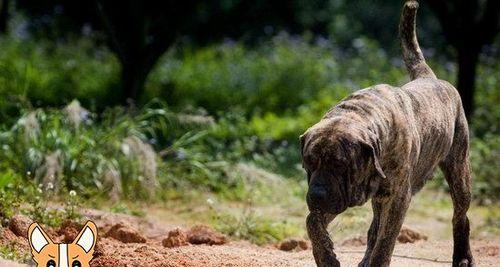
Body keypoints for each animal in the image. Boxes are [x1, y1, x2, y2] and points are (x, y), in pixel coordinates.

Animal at [300, 1, 472, 266]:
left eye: (340, 165)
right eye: (309, 162)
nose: (317, 195)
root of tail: (432, 78)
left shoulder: (398, 198)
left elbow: (385, 241)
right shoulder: (339, 195)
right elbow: (313, 223)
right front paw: (326, 256)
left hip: (459, 172)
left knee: (460, 217)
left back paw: (463, 257)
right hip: (378, 198)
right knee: (373, 228)